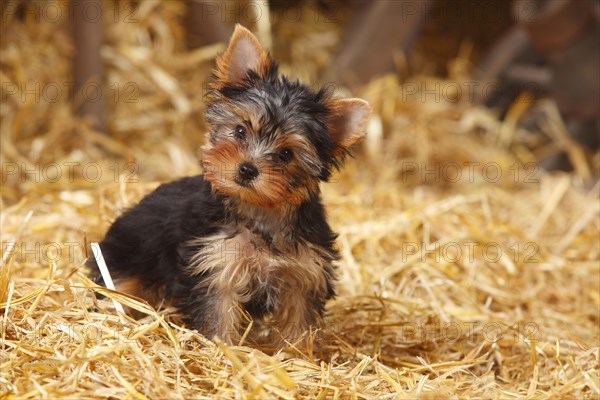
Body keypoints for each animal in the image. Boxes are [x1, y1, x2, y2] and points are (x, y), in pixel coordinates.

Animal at [88, 24, 370, 346]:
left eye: (286, 154)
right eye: (239, 131)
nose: (247, 169)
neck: (261, 213)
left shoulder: (305, 273)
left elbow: (299, 320)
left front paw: (297, 352)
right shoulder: (215, 266)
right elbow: (218, 315)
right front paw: (220, 348)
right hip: (125, 258)